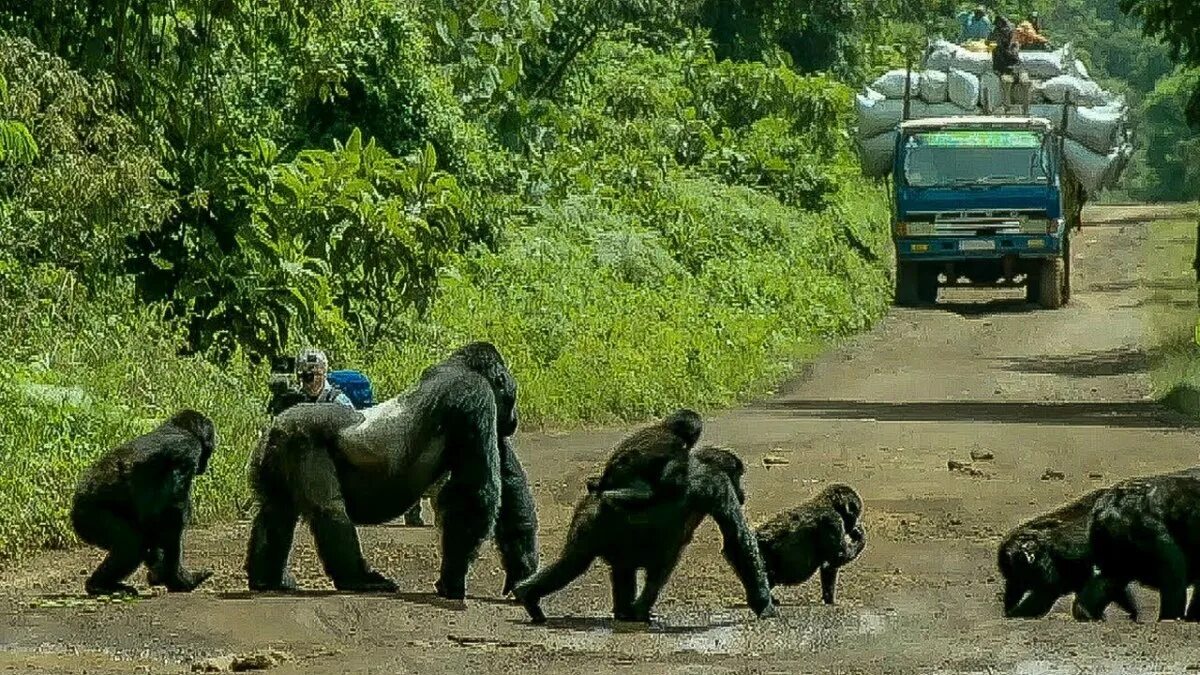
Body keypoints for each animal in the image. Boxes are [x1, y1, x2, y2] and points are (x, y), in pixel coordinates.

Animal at [71, 410, 217, 593]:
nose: (205, 466)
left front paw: (162, 572)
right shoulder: (187, 449)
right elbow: (173, 511)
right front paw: (176, 577)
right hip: (91, 517)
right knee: (130, 545)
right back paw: (99, 585)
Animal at [243, 338, 535, 595]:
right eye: (511, 396)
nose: (513, 421)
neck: (460, 366)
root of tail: (274, 427)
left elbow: (507, 486)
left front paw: (523, 571)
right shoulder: (475, 396)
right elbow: (476, 491)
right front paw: (452, 578)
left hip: (275, 451)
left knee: (276, 510)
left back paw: (267, 579)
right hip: (299, 439)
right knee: (330, 509)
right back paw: (358, 579)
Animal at [511, 444, 772, 624]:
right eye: (737, 476)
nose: (742, 490)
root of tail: (595, 492)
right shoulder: (719, 485)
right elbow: (736, 539)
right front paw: (765, 605)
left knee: (609, 567)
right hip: (592, 523)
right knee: (574, 564)